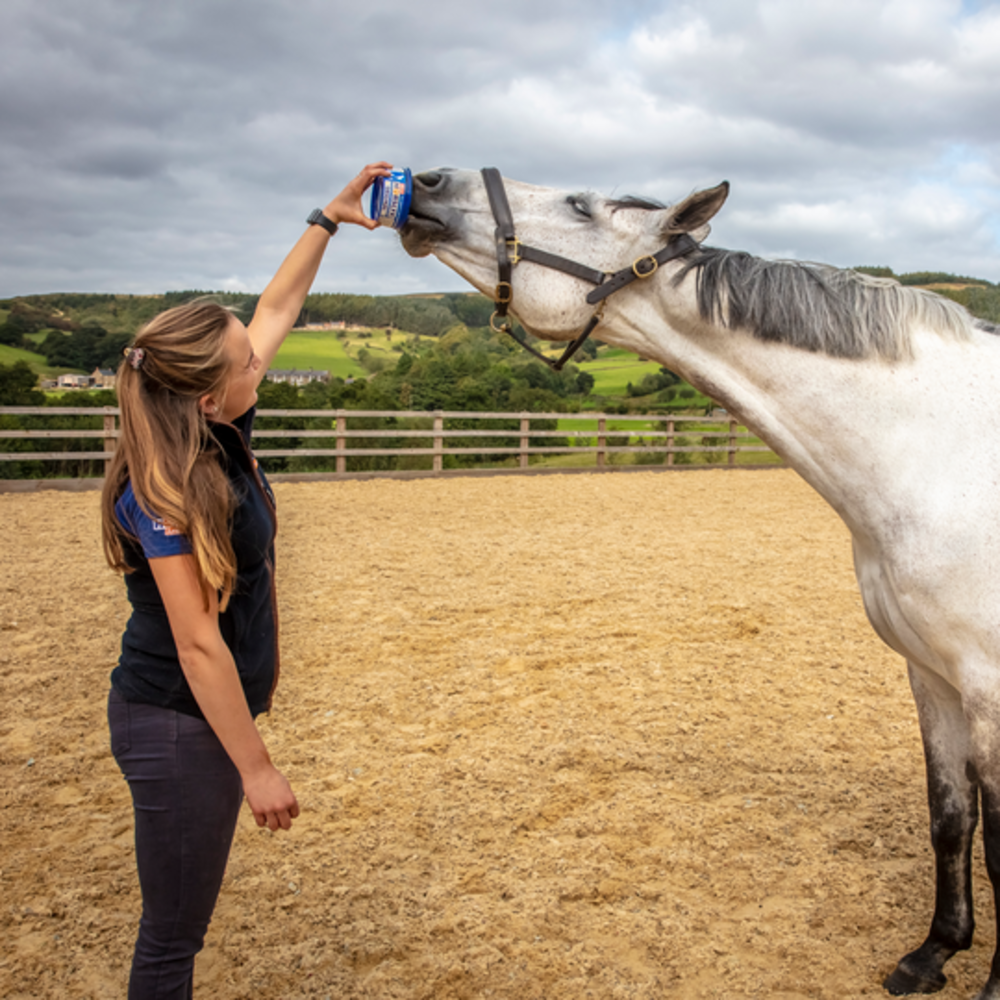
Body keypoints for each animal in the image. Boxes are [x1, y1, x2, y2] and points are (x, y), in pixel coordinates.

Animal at [400, 167, 1000, 999]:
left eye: (580, 205)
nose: (427, 183)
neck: (943, 452)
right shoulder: (932, 675)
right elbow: (950, 818)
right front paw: (934, 952)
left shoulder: (990, 687)